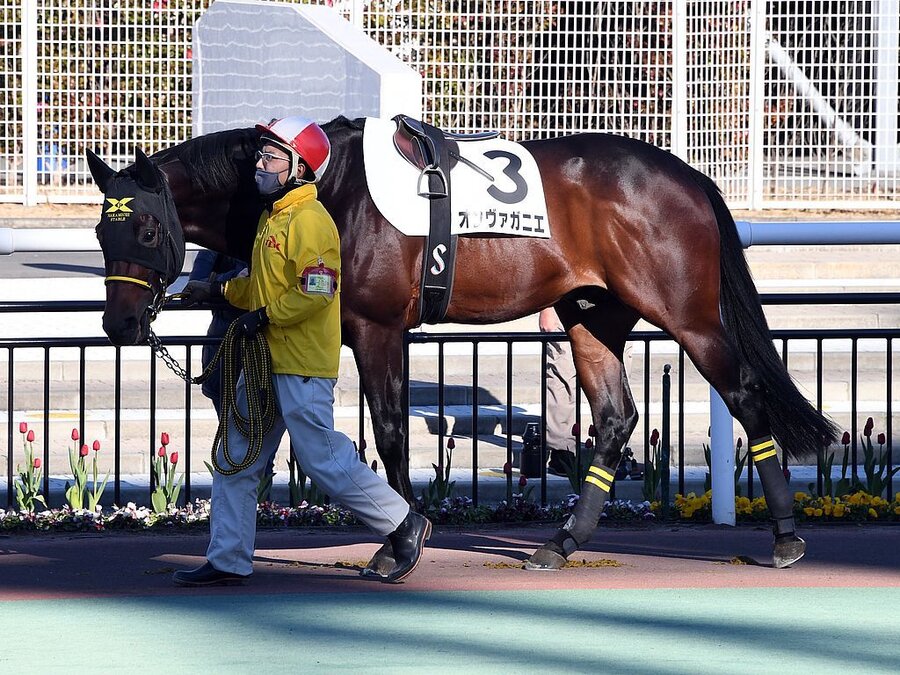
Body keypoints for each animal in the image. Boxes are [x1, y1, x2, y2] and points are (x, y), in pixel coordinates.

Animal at [86, 116, 836, 572]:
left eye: (146, 230)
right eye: (101, 230)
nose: (119, 326)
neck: (325, 188)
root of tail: (688, 176)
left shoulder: (376, 327)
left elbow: (389, 432)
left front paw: (400, 541)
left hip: (689, 315)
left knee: (744, 393)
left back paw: (786, 536)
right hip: (592, 314)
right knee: (616, 416)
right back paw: (562, 541)